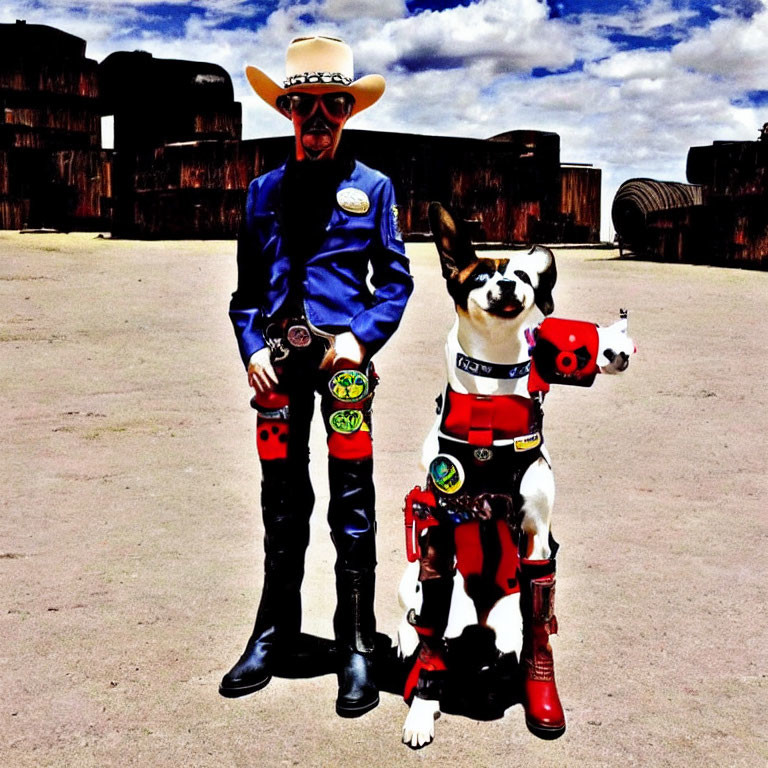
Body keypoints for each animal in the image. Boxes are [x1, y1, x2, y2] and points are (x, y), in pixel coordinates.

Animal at [400, 201, 632, 748]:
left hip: (511, 610)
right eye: (480, 275)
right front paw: (421, 710)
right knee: (423, 626)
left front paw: (540, 697)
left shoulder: (536, 536)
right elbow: (428, 640)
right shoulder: (438, 536)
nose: (506, 285)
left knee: (526, 632)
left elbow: (539, 628)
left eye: (523, 276)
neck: (489, 402)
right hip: (426, 588)